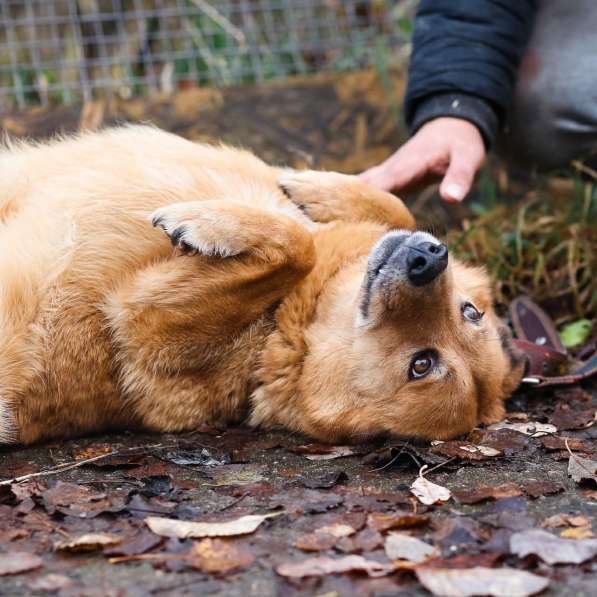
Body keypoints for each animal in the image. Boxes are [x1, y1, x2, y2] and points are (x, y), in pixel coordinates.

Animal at [0, 125, 520, 442]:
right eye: (470, 311)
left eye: (421, 365)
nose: (427, 260)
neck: (286, 317)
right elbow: (395, 208)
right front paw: (314, 189)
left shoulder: (139, 319)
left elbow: (297, 247)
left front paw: (205, 225)